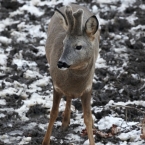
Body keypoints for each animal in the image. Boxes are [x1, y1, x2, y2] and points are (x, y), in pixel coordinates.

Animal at [42, 3, 99, 145]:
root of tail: (74, 4)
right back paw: (65, 122)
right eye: (63, 43)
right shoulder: (56, 86)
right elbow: (53, 113)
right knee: (68, 97)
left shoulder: (87, 88)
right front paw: (45, 141)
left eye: (78, 46)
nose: (61, 63)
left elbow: (87, 118)